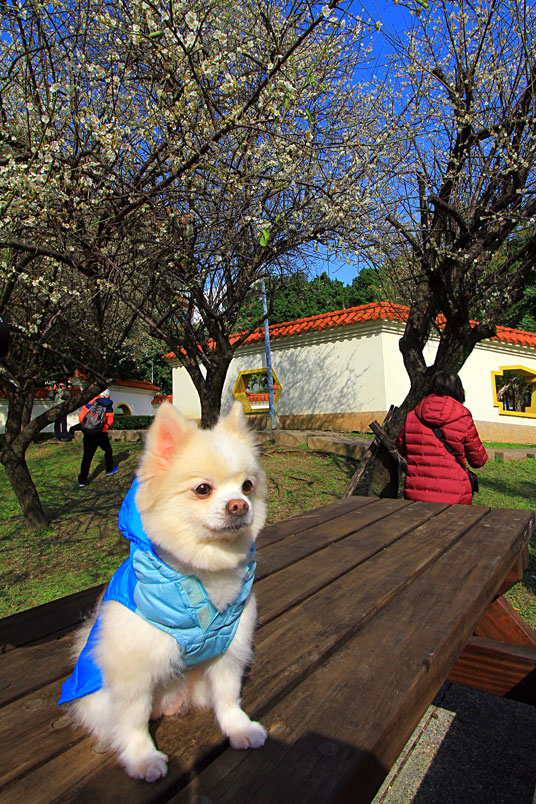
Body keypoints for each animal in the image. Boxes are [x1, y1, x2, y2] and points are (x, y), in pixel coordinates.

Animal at [58, 402, 267, 782]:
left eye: (247, 486)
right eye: (202, 489)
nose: (240, 505)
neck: (204, 570)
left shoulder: (229, 651)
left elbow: (228, 697)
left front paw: (238, 728)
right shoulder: (132, 671)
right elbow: (133, 722)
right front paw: (142, 757)